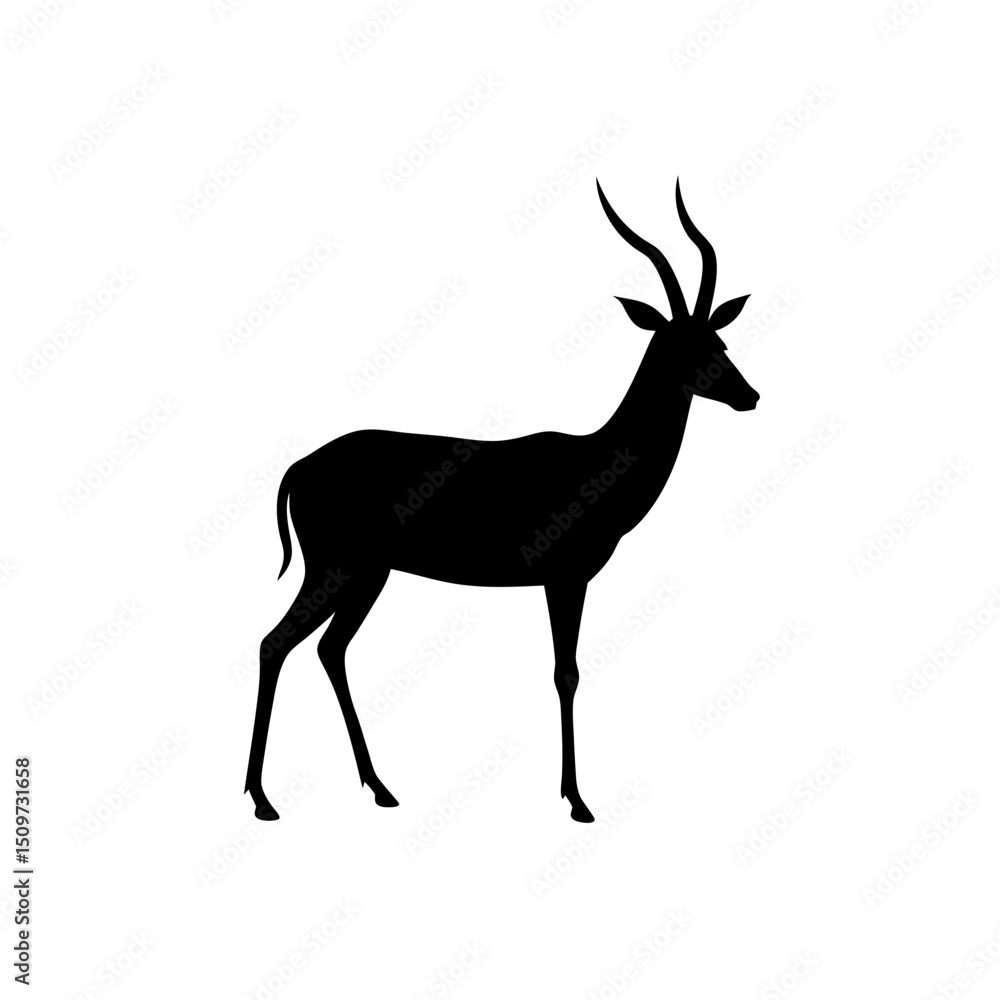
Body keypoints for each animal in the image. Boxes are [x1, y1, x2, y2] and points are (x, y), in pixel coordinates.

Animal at [245, 178, 759, 823]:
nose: (749, 395)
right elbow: (567, 673)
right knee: (275, 643)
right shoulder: (565, 577)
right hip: (337, 568)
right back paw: (263, 800)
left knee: (330, 650)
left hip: (369, 574)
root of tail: (299, 467)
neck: (598, 462)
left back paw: (381, 788)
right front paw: (577, 800)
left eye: (718, 337)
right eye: (677, 346)